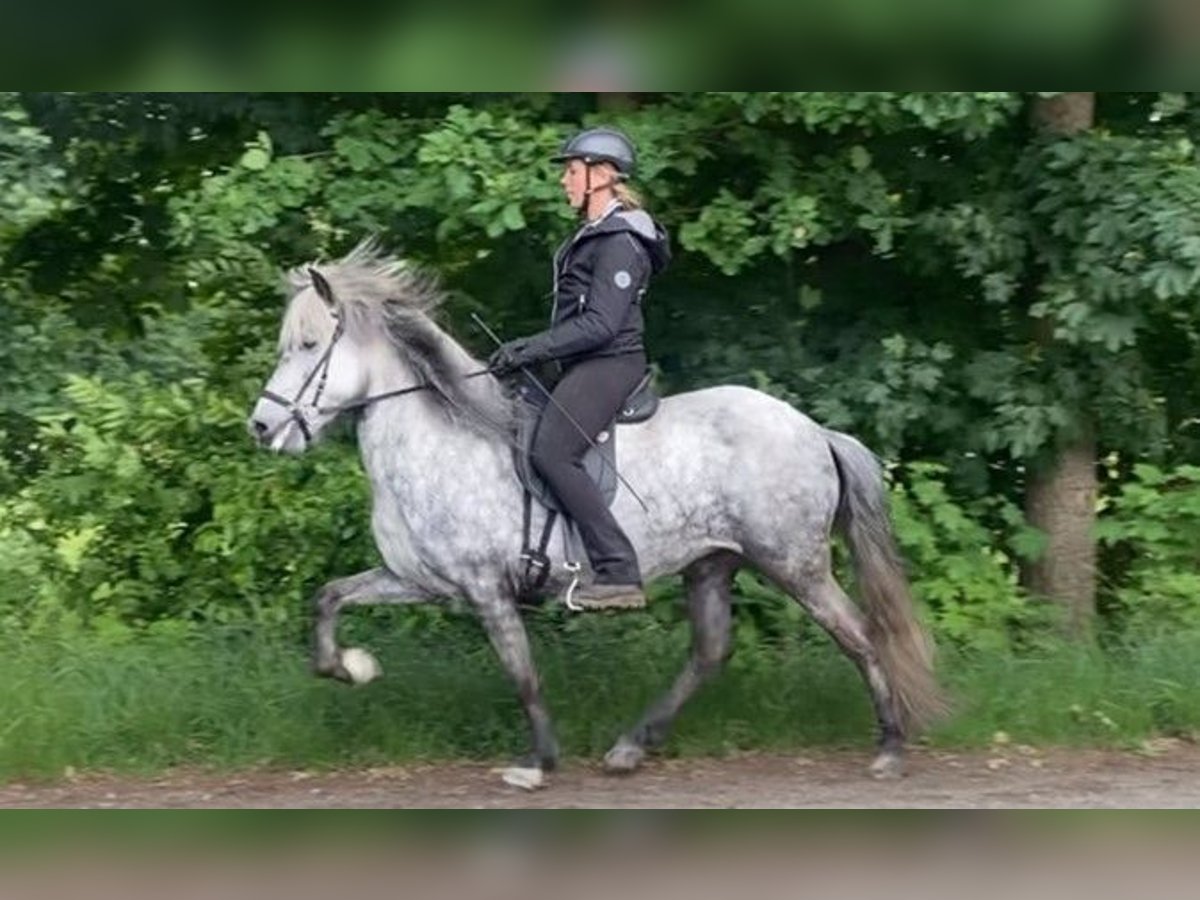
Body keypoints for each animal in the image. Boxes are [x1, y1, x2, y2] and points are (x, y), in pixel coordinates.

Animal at [248, 243, 940, 792]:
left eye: (308, 346)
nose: (261, 427)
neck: (440, 438)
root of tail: (813, 430)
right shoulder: (418, 579)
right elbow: (328, 599)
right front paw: (354, 668)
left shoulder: (485, 589)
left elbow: (522, 675)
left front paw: (537, 764)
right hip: (712, 564)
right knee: (711, 652)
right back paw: (630, 748)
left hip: (794, 563)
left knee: (858, 635)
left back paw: (890, 749)